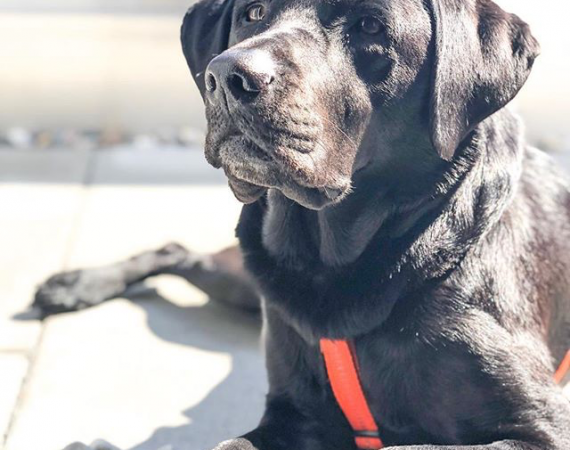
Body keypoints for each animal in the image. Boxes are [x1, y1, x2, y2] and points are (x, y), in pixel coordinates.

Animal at [34, 0, 568, 448]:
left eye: (370, 26)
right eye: (252, 12)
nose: (228, 74)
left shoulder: (542, 429)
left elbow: (408, 445)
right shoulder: (291, 414)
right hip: (248, 280)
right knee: (176, 250)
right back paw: (74, 284)